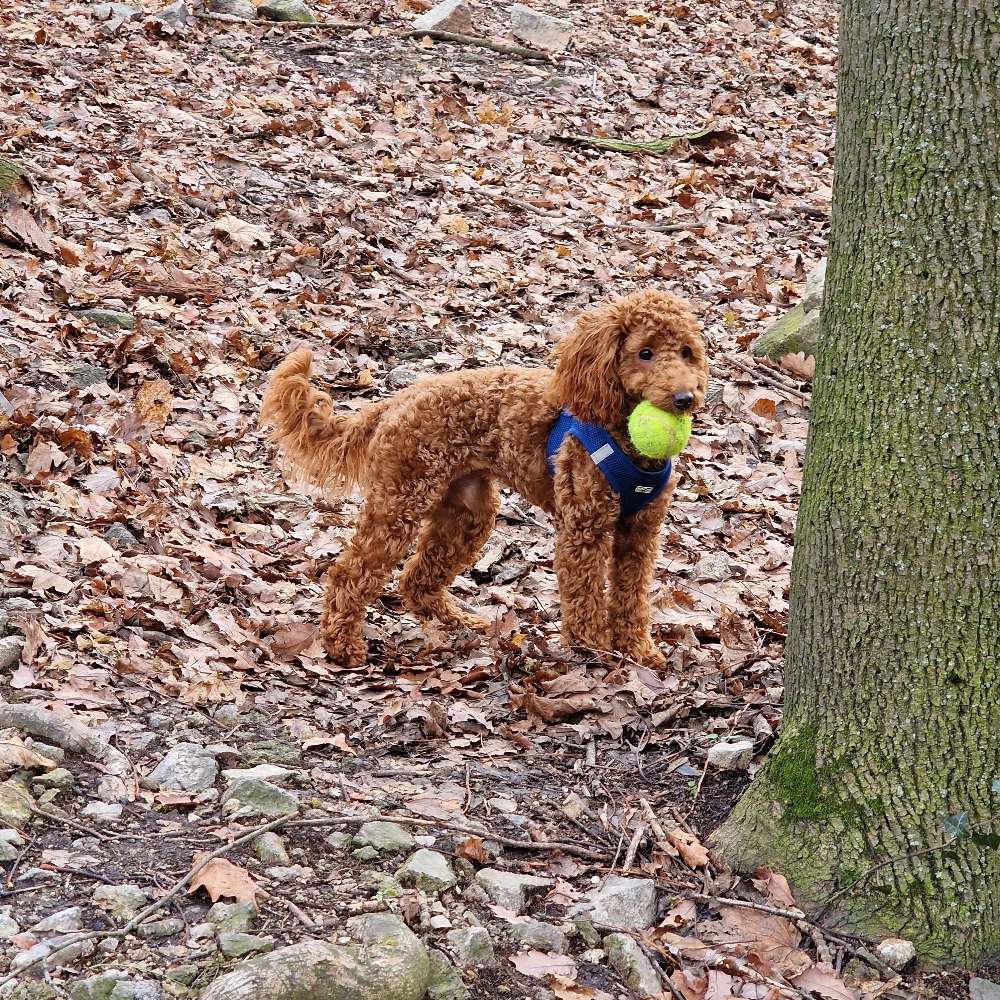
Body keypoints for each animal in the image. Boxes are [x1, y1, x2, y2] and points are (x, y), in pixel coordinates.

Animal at [262, 288, 708, 664]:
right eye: (645, 352)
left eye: (686, 352)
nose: (685, 398)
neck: (624, 437)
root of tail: (398, 400)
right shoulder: (585, 528)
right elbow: (584, 596)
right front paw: (594, 651)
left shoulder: (640, 533)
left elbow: (633, 597)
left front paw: (637, 650)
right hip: (400, 502)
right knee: (349, 572)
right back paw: (342, 644)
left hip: (467, 510)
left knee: (417, 580)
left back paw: (456, 622)